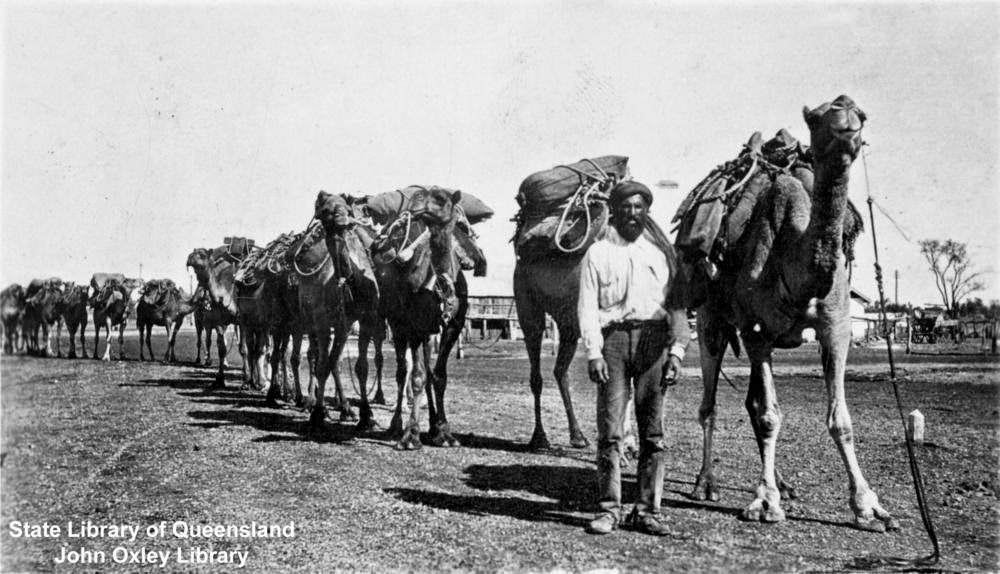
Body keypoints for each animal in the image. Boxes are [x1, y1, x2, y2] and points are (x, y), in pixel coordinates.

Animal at [370, 187, 474, 452]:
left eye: (441, 199)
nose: (415, 203)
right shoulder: (416, 327)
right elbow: (417, 377)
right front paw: (411, 436)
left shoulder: (453, 326)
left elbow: (438, 376)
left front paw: (444, 433)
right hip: (398, 325)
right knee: (402, 371)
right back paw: (396, 425)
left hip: (429, 331)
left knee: (426, 369)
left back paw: (433, 424)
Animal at [688, 97, 900, 532]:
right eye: (816, 117)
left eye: (861, 114)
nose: (846, 122)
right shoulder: (757, 331)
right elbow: (770, 415)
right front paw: (764, 503)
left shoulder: (837, 327)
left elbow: (840, 420)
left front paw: (869, 507)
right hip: (711, 318)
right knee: (710, 402)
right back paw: (706, 484)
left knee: (750, 403)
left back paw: (783, 483)